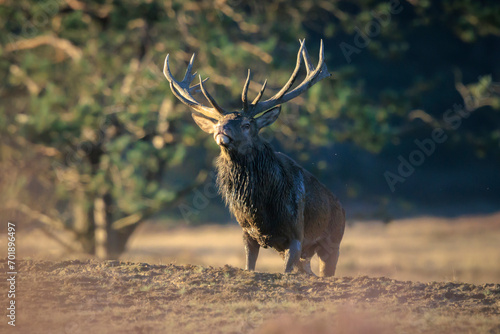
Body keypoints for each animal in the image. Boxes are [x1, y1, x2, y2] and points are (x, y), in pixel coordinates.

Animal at [163, 39, 344, 276]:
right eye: (218, 121)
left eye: (247, 124)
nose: (221, 129)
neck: (261, 211)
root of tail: (341, 207)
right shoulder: (248, 234)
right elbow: (249, 266)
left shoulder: (296, 234)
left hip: (333, 242)